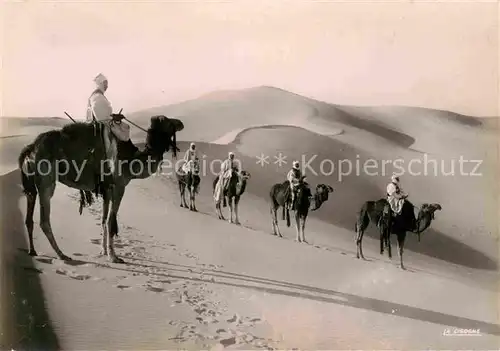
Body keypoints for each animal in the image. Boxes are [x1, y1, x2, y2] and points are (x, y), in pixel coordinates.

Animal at [17, 115, 184, 264]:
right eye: (168, 121)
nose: (180, 123)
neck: (131, 160)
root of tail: (30, 149)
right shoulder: (119, 187)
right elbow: (111, 221)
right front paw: (114, 257)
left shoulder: (106, 190)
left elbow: (103, 220)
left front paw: (103, 251)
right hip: (46, 181)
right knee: (44, 220)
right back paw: (61, 254)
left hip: (31, 184)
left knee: (29, 216)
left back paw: (32, 251)